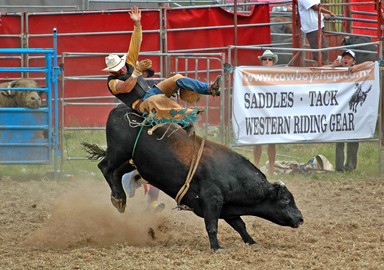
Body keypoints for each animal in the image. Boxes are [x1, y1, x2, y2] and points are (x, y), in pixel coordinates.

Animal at [82, 105, 304, 251]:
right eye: (286, 200)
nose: (300, 218)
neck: (231, 174)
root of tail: (118, 109)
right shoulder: (212, 200)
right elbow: (212, 225)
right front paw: (216, 247)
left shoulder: (227, 206)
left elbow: (240, 225)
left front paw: (251, 242)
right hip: (119, 152)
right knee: (105, 167)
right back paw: (119, 198)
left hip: (133, 161)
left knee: (116, 173)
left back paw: (119, 199)